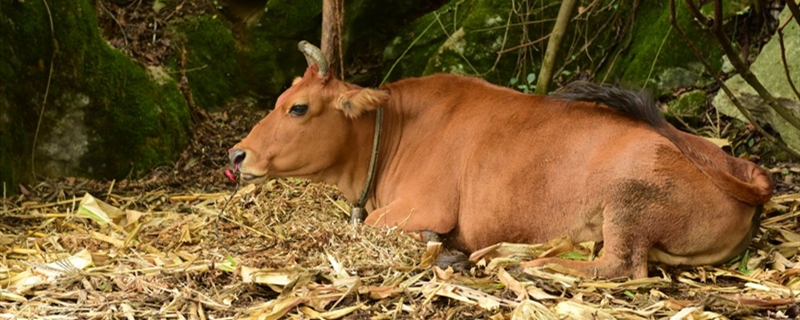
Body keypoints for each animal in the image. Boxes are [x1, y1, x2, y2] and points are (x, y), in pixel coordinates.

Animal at [228, 41, 772, 278]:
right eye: (280, 99)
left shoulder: (425, 206)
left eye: (298, 108)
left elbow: (375, 228)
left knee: (617, 267)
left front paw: (440, 247)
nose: (237, 153)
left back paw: (517, 262)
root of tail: (741, 171)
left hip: (628, 198)